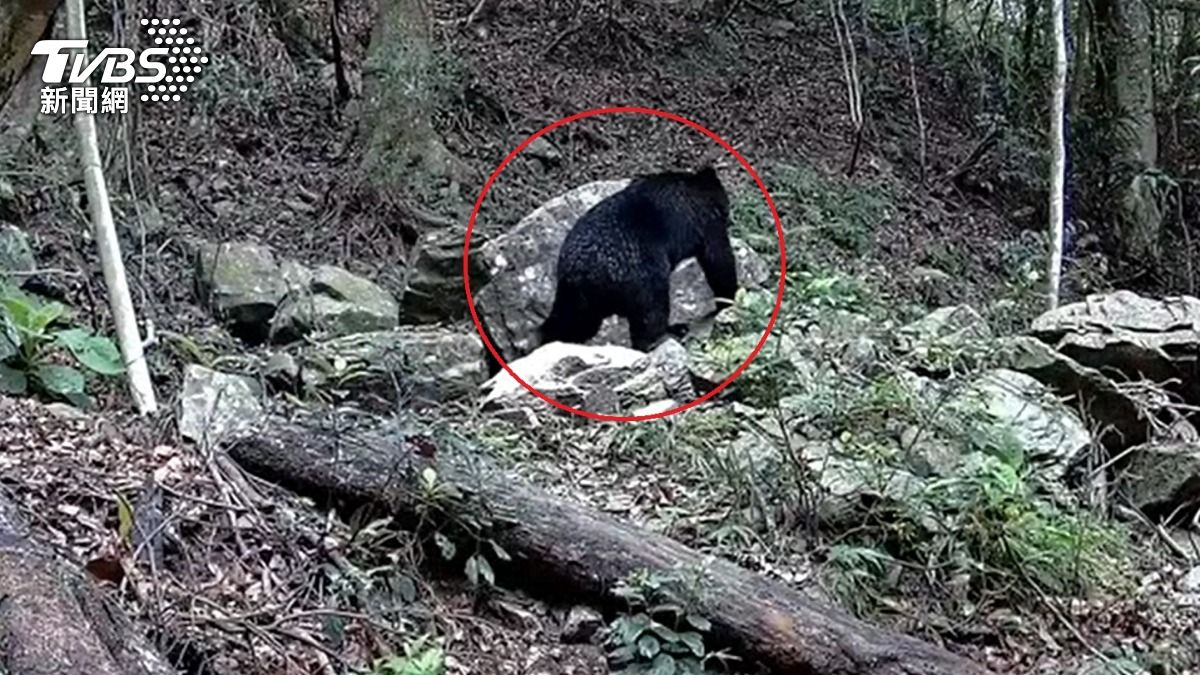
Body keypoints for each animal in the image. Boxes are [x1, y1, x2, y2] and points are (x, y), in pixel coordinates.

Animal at [482, 165, 738, 378]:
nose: (731, 216)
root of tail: (584, 271)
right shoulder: (706, 221)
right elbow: (718, 258)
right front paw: (728, 299)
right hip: (641, 272)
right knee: (652, 310)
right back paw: (665, 335)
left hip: (578, 298)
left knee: (570, 322)